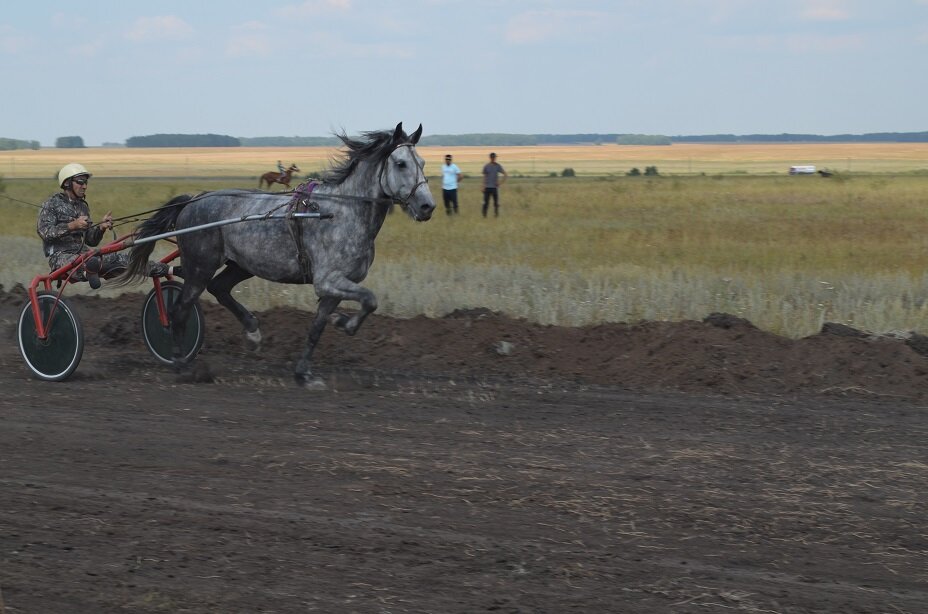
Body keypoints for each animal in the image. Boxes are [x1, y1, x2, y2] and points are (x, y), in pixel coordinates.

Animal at [122, 122, 436, 388]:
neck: (342, 212)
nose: (427, 206)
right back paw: (180, 365)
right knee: (180, 310)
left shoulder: (334, 287)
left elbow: (317, 328)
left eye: (421, 163)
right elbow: (370, 299)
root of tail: (193, 200)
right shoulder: (328, 280)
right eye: (400, 163)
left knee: (220, 288)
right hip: (199, 267)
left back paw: (252, 333)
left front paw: (304, 373)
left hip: (241, 264)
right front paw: (344, 323)